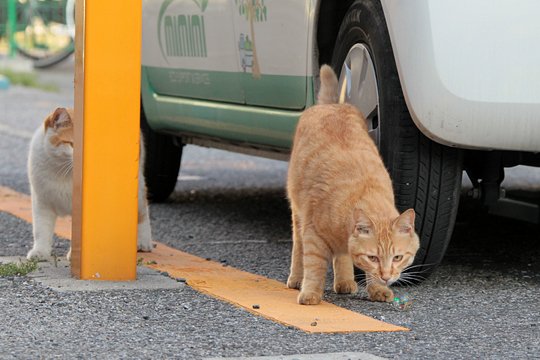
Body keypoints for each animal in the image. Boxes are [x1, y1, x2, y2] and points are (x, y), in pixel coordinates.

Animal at [27, 105, 154, 260]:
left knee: (142, 212)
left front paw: (75, 255)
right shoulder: (42, 204)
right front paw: (40, 252)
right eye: (72, 145)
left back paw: (143, 241)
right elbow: (41, 230)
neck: (63, 172)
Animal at [286, 64, 418, 304]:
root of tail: (330, 104)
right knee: (299, 248)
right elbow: (314, 266)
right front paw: (310, 294)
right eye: (373, 257)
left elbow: (347, 257)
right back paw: (297, 279)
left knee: (341, 256)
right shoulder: (313, 234)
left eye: (397, 257)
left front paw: (378, 289)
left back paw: (345, 282)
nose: (387, 276)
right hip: (298, 213)